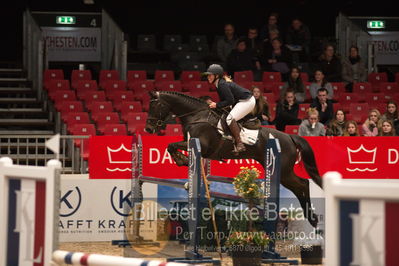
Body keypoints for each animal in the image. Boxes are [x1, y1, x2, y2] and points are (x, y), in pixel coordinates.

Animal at [145, 91, 324, 227]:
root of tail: (289, 136)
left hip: (284, 171)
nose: (148, 129)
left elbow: (172, 145)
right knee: (300, 185)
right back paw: (312, 219)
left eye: (156, 106)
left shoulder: (201, 146)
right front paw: (182, 162)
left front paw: (181, 160)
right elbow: (171, 146)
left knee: (302, 183)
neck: (196, 116)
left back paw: (312, 219)